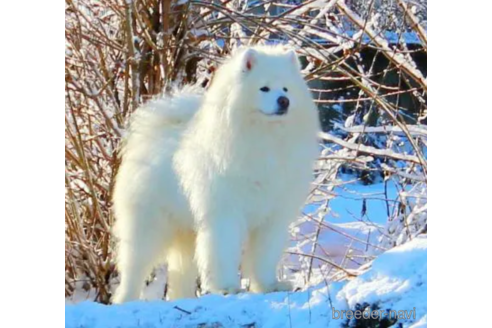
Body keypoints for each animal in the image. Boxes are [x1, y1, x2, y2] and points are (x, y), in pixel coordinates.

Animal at [111, 44, 320, 304]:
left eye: (286, 88)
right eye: (264, 88)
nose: (284, 101)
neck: (265, 139)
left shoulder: (273, 216)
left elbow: (265, 255)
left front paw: (269, 286)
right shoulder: (225, 213)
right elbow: (224, 250)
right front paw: (227, 287)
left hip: (185, 232)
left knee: (180, 273)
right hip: (148, 224)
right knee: (134, 266)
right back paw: (126, 299)